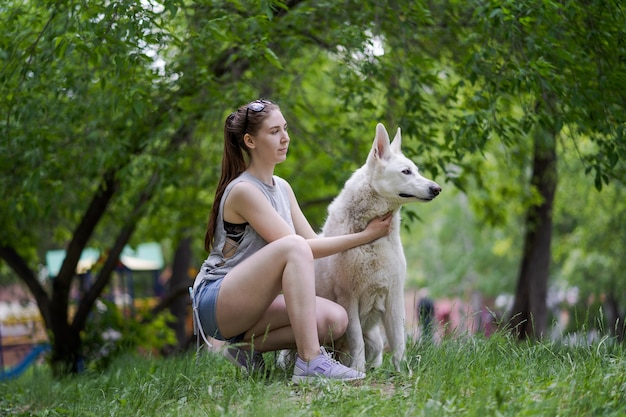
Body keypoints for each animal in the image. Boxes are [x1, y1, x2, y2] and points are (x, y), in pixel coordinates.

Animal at [312, 121, 438, 370]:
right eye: (406, 171)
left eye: (417, 170)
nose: (436, 188)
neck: (371, 240)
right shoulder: (348, 299)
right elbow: (356, 339)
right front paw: (358, 371)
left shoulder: (395, 295)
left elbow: (398, 341)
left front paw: (402, 373)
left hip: (376, 341)